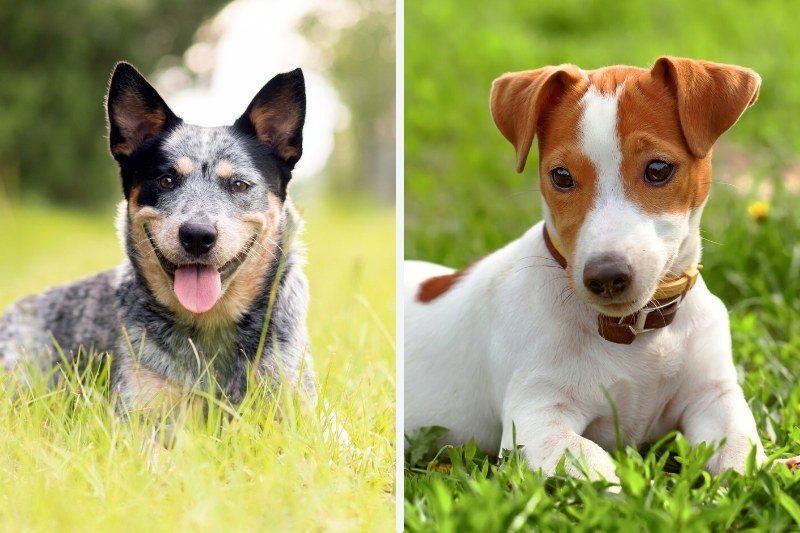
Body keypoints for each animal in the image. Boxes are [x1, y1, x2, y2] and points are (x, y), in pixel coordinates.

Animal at [406, 56, 788, 480]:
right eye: (561, 176)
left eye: (658, 169)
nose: (605, 277)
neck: (638, 333)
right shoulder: (536, 420)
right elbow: (593, 461)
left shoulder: (713, 397)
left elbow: (741, 454)